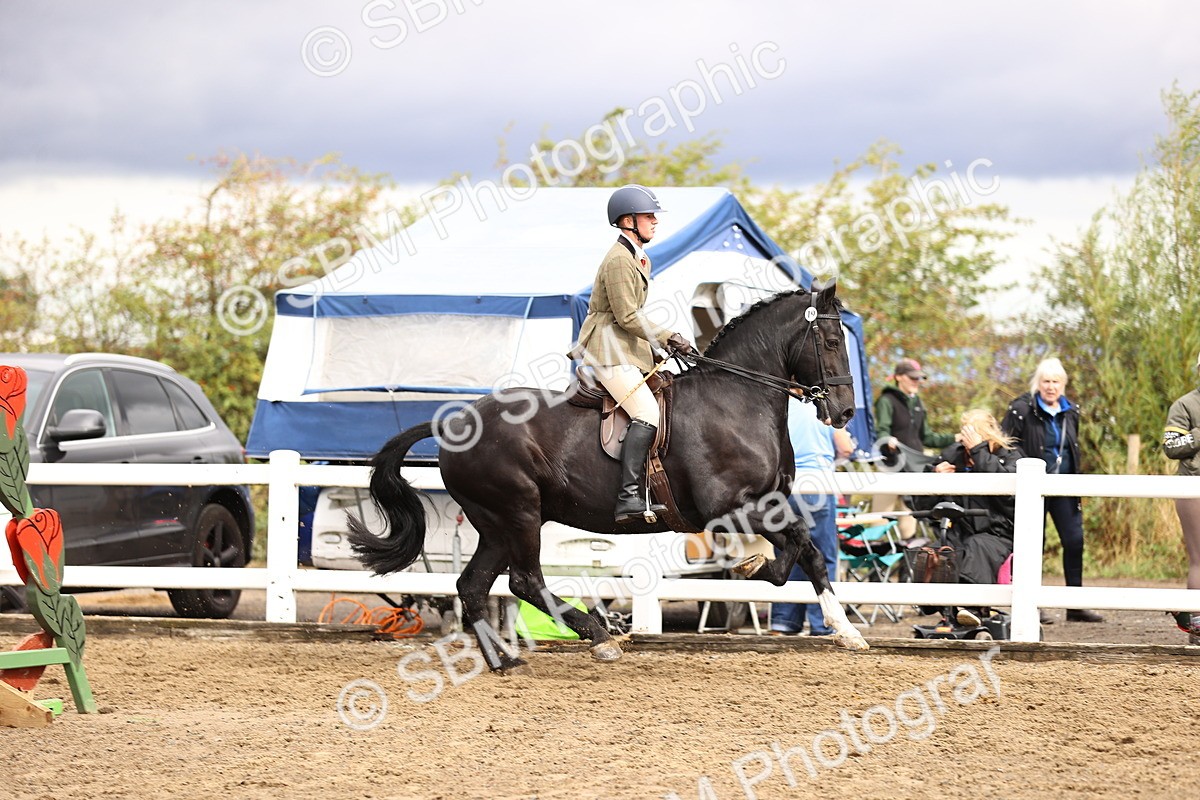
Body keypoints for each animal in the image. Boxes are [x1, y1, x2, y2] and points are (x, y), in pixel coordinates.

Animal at [348, 281, 868, 672]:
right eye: (831, 342)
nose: (844, 412)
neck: (737, 398)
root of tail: (453, 422)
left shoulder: (770, 502)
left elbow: (807, 552)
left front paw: (843, 630)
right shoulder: (729, 508)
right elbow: (797, 548)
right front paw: (757, 568)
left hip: (495, 523)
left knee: (473, 587)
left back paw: (504, 661)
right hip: (519, 513)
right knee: (525, 582)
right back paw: (600, 638)